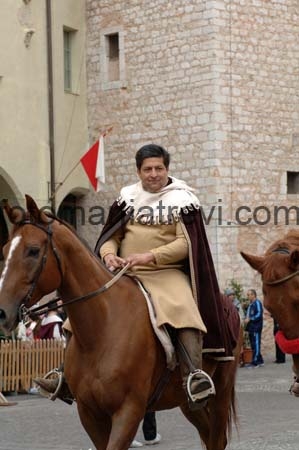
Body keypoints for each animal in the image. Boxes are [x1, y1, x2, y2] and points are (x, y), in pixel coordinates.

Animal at [0, 196, 240, 450]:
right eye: (5, 250)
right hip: (186, 401)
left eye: (33, 251)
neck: (101, 329)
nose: (2, 312)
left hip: (221, 390)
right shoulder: (89, 413)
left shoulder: (128, 411)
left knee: (217, 438)